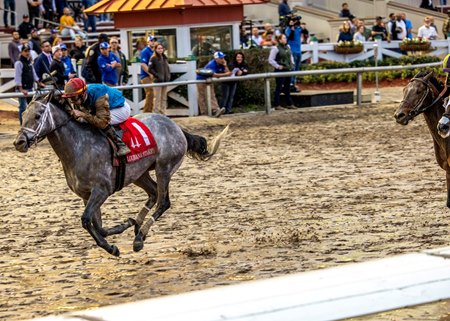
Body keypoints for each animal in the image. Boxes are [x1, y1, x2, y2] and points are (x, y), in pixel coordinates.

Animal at [13, 92, 229, 255]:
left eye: (38, 115)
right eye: (24, 114)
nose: (19, 142)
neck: (79, 147)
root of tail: (176, 127)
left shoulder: (102, 190)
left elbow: (86, 220)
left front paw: (111, 248)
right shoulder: (86, 195)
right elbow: (98, 225)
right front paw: (124, 225)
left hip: (164, 168)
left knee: (163, 201)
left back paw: (140, 238)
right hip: (140, 174)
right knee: (153, 194)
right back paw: (137, 226)